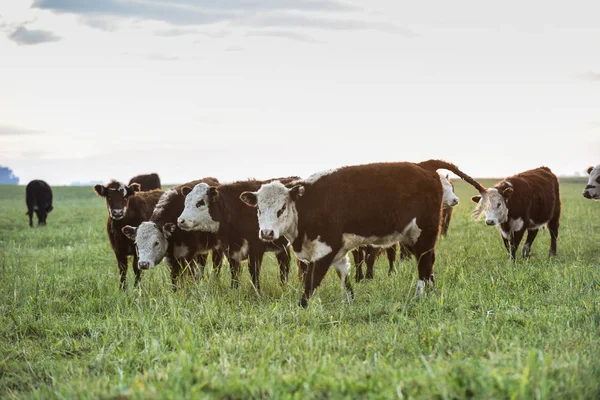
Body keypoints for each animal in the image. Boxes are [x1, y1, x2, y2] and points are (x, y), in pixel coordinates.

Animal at [239, 161, 488, 308]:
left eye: (281, 208)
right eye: (259, 209)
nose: (267, 232)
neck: (306, 205)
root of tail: (422, 165)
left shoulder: (325, 249)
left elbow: (310, 282)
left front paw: (302, 308)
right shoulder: (337, 251)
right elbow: (345, 277)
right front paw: (349, 301)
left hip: (423, 233)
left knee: (424, 264)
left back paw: (419, 296)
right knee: (428, 264)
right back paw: (430, 292)